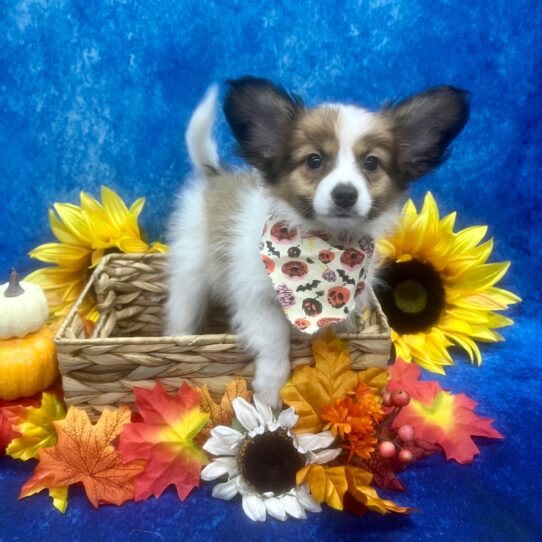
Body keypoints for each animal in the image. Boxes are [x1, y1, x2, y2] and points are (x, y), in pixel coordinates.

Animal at [167, 77, 472, 408]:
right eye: (314, 160)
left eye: (371, 163)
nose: (345, 194)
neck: (326, 248)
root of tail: (216, 175)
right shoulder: (256, 298)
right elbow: (275, 339)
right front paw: (270, 390)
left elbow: (336, 332)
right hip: (191, 275)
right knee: (182, 310)